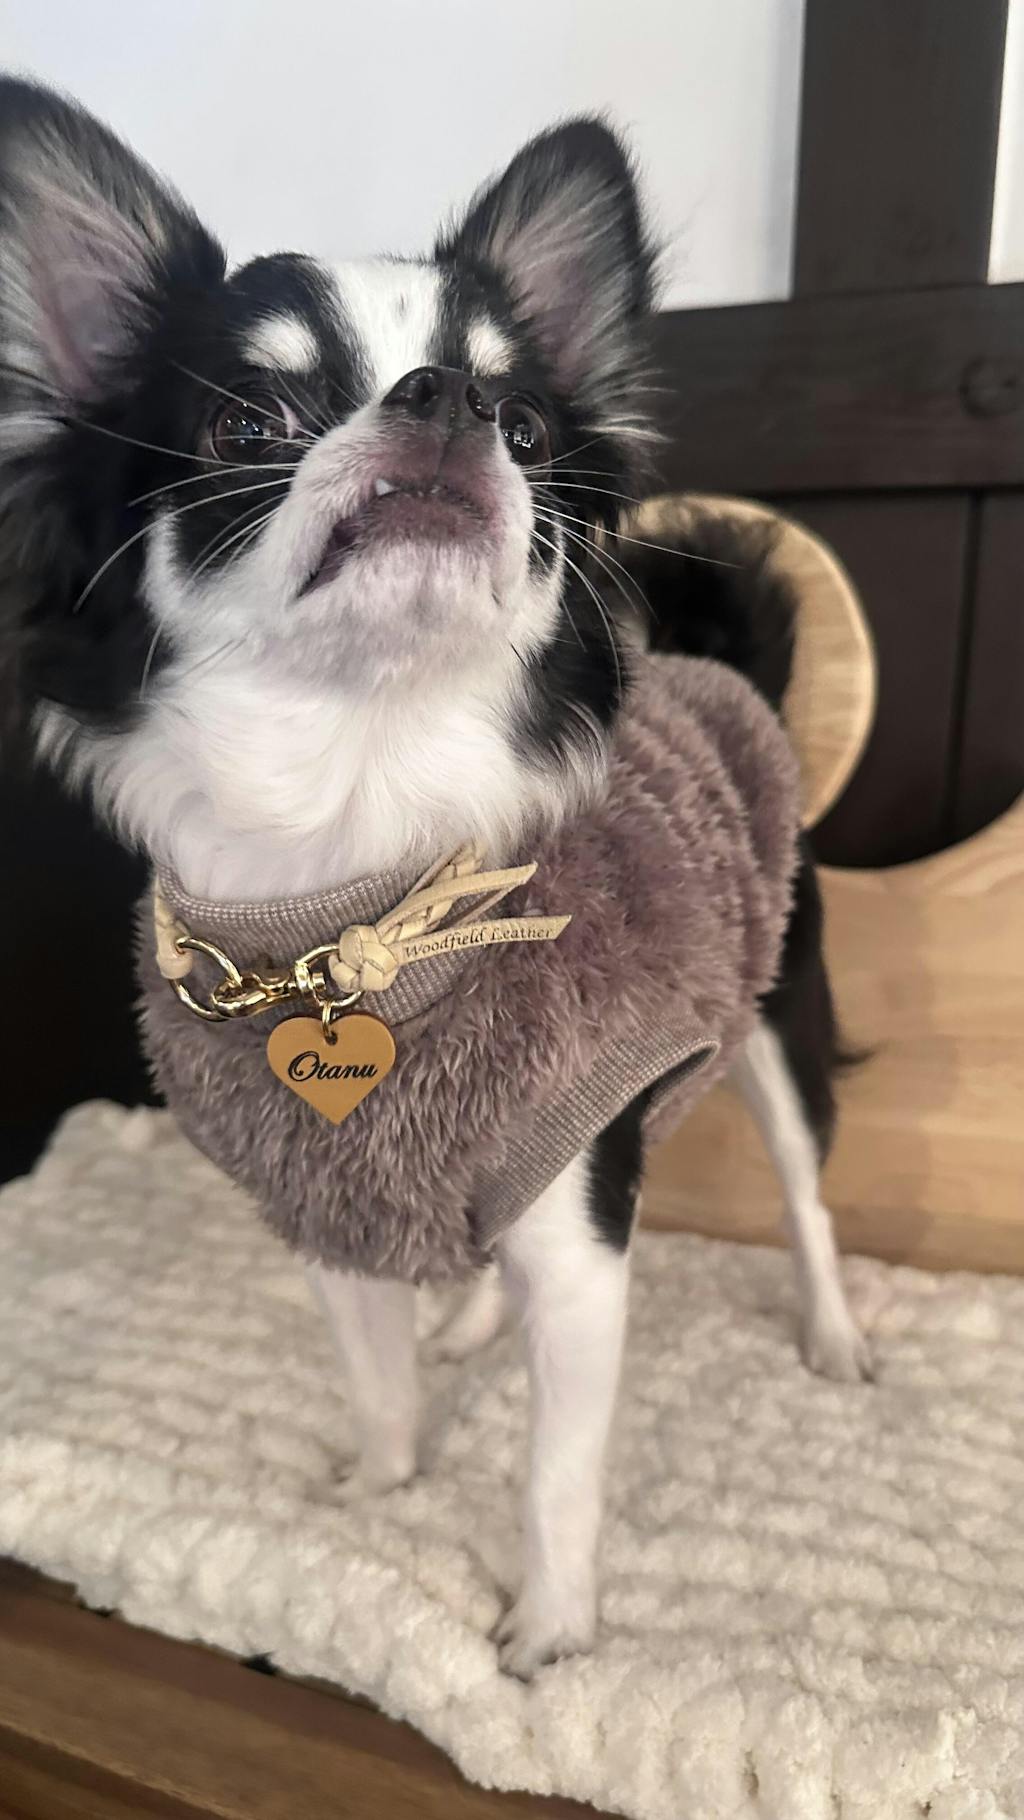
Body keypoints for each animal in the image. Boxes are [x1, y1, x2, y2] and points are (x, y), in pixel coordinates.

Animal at [0, 78, 869, 1678]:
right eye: (244, 421)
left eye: (522, 421)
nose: (447, 401)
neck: (365, 883)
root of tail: (726, 670)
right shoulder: (328, 1219)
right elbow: (380, 1387)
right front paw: (377, 1499)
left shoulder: (587, 1240)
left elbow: (555, 1472)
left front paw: (548, 1633)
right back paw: (470, 1325)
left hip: (779, 1023)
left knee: (805, 1195)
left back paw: (834, 1335)